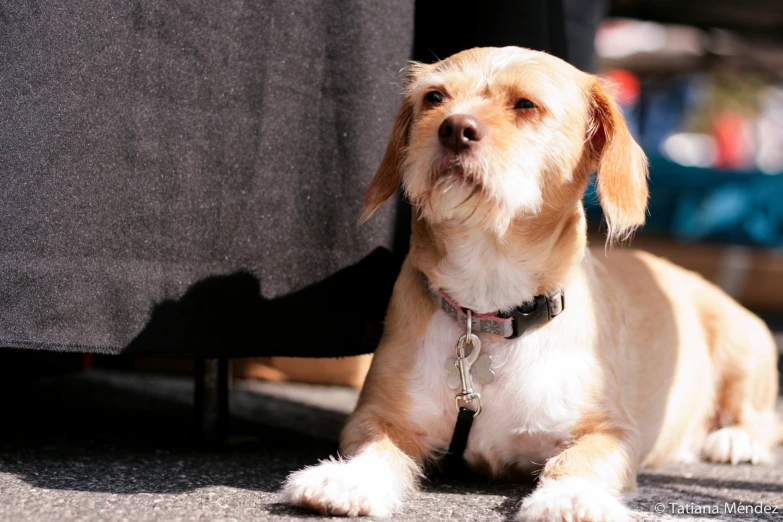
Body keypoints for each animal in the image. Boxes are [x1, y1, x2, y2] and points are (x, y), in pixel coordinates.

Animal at [280, 45, 776, 520]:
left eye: (525, 104)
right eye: (435, 97)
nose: (454, 128)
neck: (487, 303)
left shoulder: (612, 431)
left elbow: (577, 461)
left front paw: (570, 497)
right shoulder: (378, 415)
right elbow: (375, 448)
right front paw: (350, 480)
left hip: (745, 343)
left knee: (765, 419)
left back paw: (735, 440)